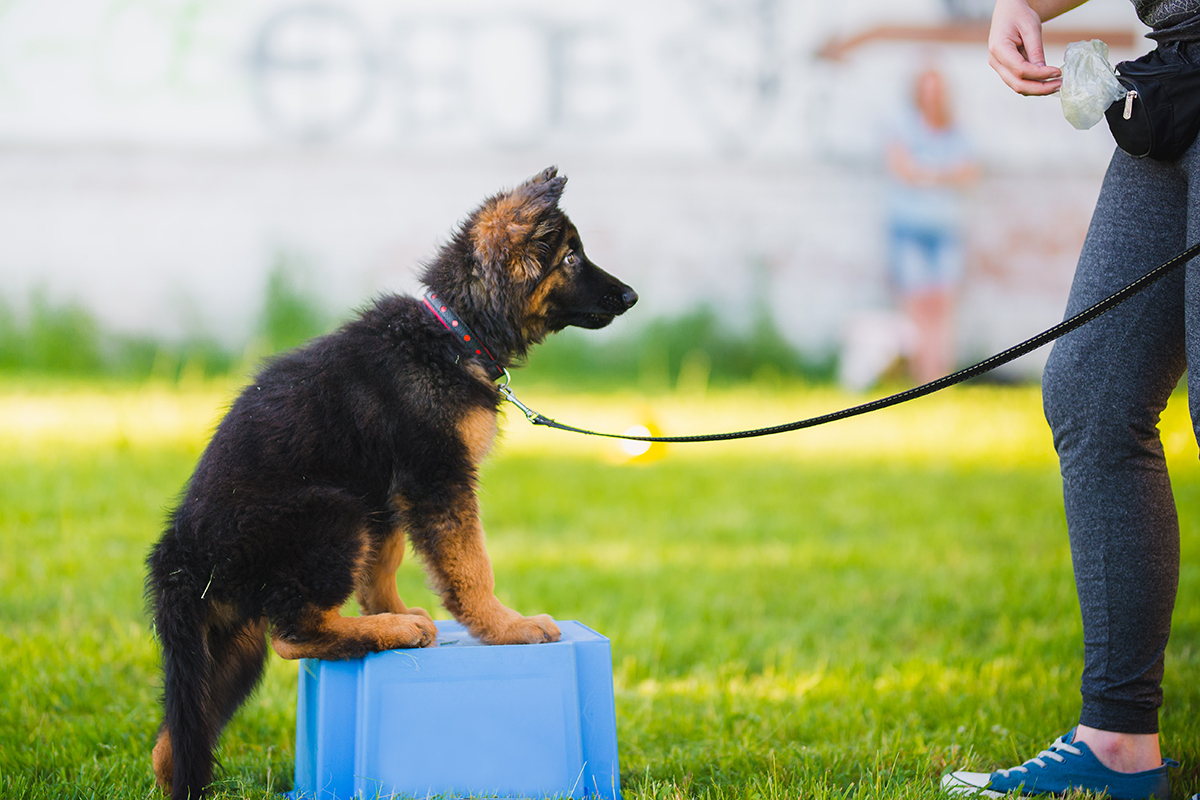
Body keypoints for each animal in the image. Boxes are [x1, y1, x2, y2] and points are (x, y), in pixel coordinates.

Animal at [145, 169, 638, 800]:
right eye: (572, 256)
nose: (631, 297)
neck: (453, 333)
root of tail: (182, 553)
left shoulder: (389, 497)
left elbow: (383, 567)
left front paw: (402, 609)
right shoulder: (435, 478)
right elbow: (470, 564)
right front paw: (503, 626)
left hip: (230, 643)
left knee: (177, 737)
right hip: (332, 512)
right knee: (294, 635)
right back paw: (394, 632)